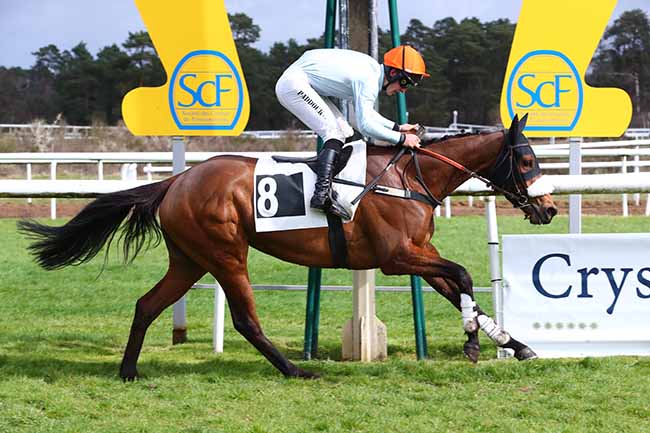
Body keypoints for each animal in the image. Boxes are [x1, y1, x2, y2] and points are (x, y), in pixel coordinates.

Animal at [18, 114, 557, 380]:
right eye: (526, 160)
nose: (549, 208)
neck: (409, 177)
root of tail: (175, 181)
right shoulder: (396, 257)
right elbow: (463, 275)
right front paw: (473, 344)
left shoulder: (417, 255)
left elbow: (462, 290)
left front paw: (516, 345)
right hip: (225, 252)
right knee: (244, 319)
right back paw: (296, 369)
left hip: (190, 259)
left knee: (147, 304)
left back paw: (129, 370)